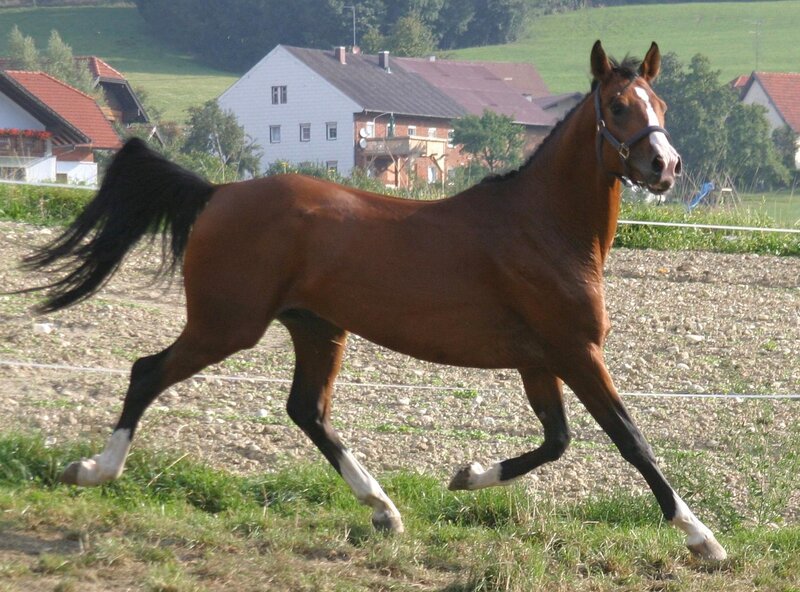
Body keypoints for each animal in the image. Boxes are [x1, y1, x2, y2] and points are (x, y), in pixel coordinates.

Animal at [19, 41, 726, 561]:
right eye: (618, 105)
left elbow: (557, 441)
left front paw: (466, 475)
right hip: (227, 324)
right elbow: (631, 439)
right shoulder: (574, 352)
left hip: (316, 328)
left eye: (659, 101)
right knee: (147, 372)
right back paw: (92, 471)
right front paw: (702, 538)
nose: (666, 167)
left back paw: (383, 509)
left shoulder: (539, 359)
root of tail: (218, 193)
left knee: (306, 410)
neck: (544, 227)